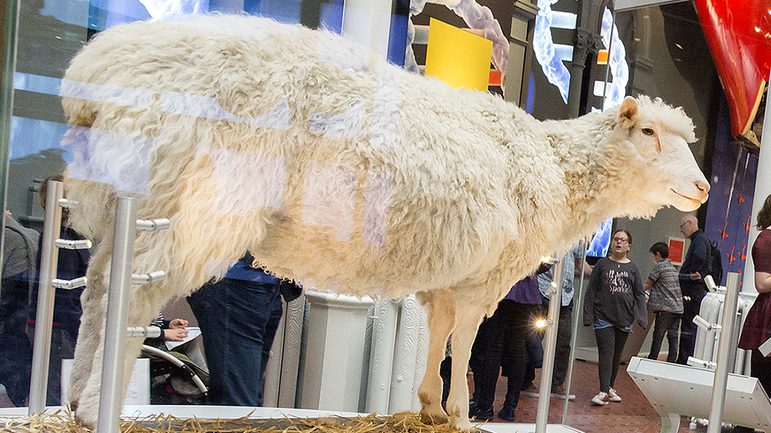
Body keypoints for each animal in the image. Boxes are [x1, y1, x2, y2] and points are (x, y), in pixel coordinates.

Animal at [58, 14, 709, 430]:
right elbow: (464, 342)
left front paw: (428, 405)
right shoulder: (483, 278)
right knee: (132, 296)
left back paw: (73, 401)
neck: (552, 163)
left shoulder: (450, 275)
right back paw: (95, 405)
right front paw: (459, 412)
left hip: (126, 203)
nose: (704, 187)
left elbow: (439, 336)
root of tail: (95, 72)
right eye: (648, 133)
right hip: (192, 204)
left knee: (97, 292)